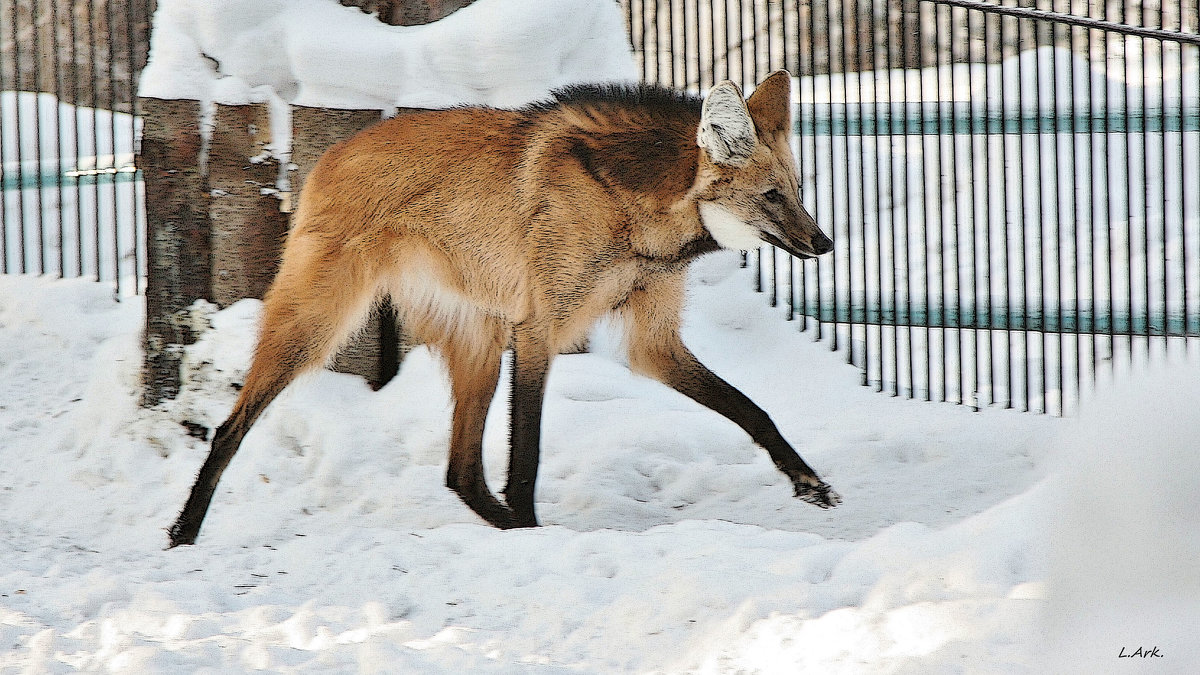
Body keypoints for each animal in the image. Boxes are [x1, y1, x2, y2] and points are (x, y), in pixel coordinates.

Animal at [169, 70, 840, 542]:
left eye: (798, 192)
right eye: (772, 196)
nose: (824, 243)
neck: (640, 219)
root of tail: (329, 154)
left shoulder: (651, 342)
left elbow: (753, 410)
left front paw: (809, 483)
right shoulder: (541, 328)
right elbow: (527, 452)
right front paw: (535, 533)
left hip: (482, 340)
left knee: (459, 471)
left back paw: (507, 527)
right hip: (320, 325)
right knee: (230, 426)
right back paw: (183, 530)